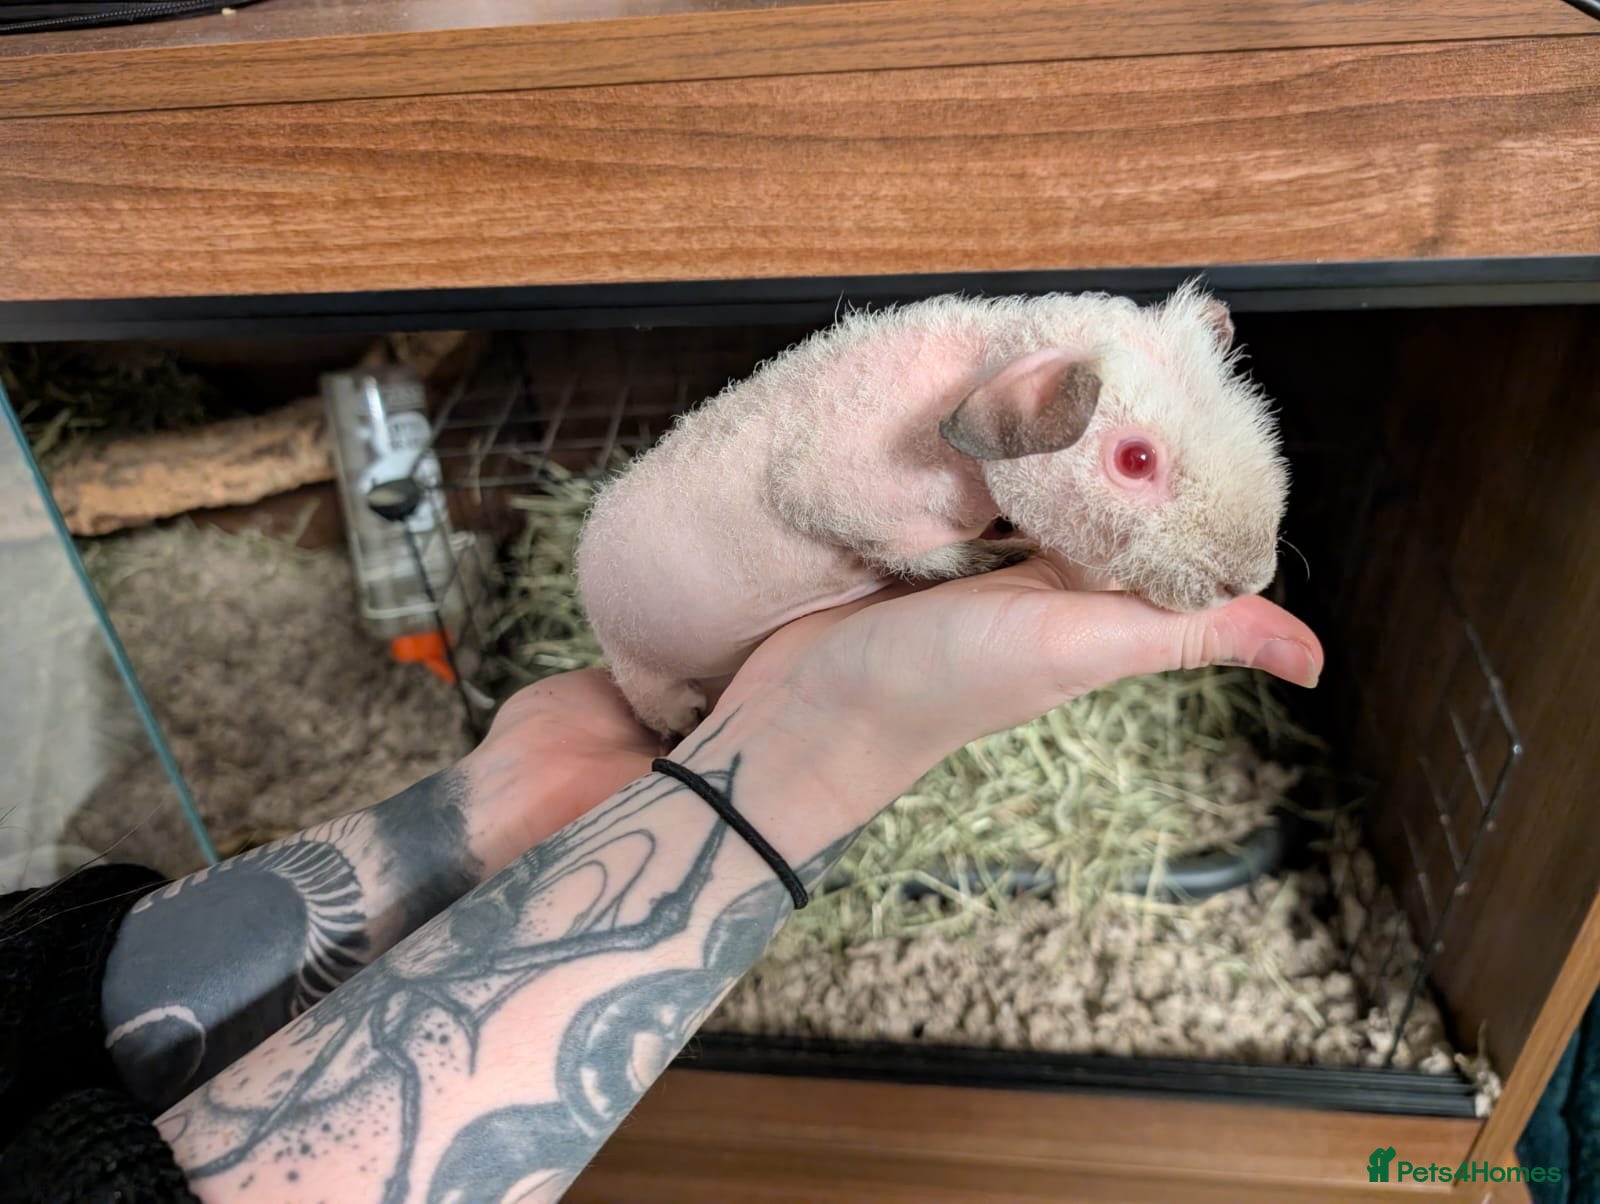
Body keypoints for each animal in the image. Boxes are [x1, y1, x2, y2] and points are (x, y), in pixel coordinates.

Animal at [574, 281, 1289, 737]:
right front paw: (1005, 553)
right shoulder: (829, 498)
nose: (1249, 581)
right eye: (1135, 459)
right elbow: (920, 554)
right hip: (646, 677)